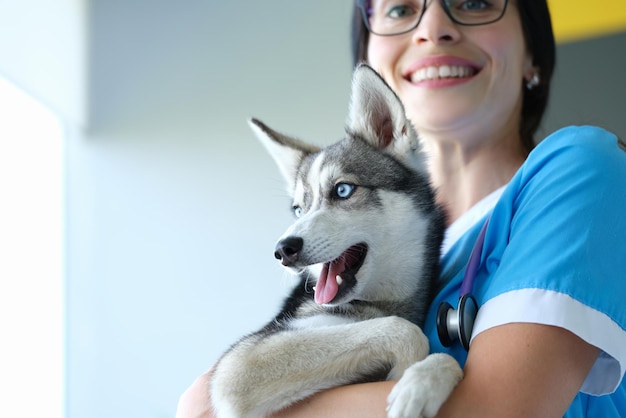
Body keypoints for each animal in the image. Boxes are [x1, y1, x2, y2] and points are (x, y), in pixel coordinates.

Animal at [212, 63, 460, 416]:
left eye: (343, 190)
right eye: (298, 209)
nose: (283, 250)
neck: (376, 304)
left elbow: (447, 358)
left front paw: (422, 382)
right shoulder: (243, 362)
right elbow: (406, 331)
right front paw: (408, 373)